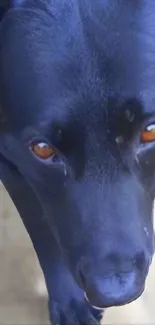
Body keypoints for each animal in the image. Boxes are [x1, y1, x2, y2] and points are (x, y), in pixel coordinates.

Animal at [0, 0, 154, 322]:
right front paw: (70, 304)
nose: (117, 291)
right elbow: (43, 235)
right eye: (42, 149)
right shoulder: (12, 165)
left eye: (150, 131)